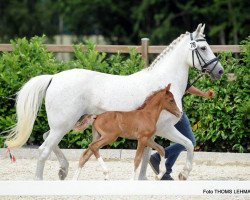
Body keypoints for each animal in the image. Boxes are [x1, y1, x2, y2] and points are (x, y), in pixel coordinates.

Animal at [5, 23, 225, 180]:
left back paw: (63, 170)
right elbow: (188, 144)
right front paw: (183, 173)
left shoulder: (151, 133)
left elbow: (148, 155)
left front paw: (146, 177)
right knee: (43, 150)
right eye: (203, 47)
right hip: (63, 125)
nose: (220, 71)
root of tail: (53, 78)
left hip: (64, 124)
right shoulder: (166, 128)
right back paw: (43, 178)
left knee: (46, 139)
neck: (162, 86)